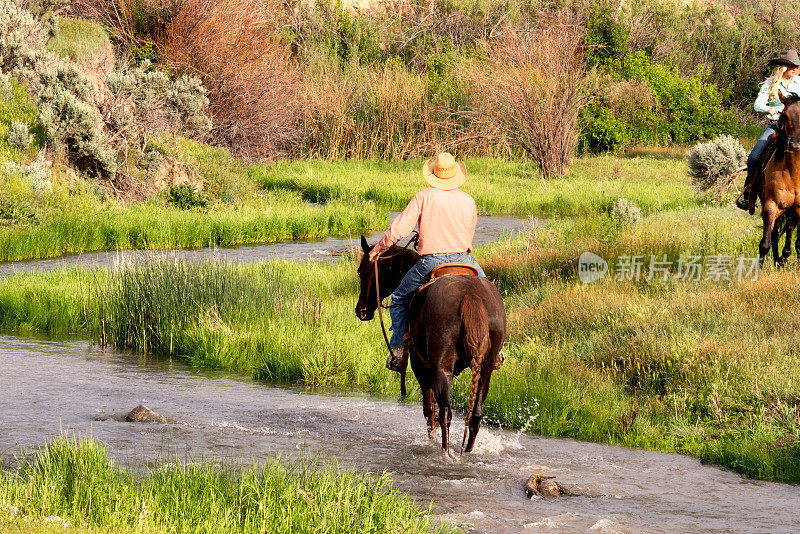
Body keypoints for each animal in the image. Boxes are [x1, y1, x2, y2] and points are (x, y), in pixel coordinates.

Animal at [356, 239, 506, 456]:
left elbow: (429, 411)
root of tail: (470, 296)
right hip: (485, 369)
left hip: (442, 368)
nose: (361, 311)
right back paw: (467, 451)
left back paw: (445, 452)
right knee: (475, 415)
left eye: (361, 271)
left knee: (445, 414)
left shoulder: (421, 368)